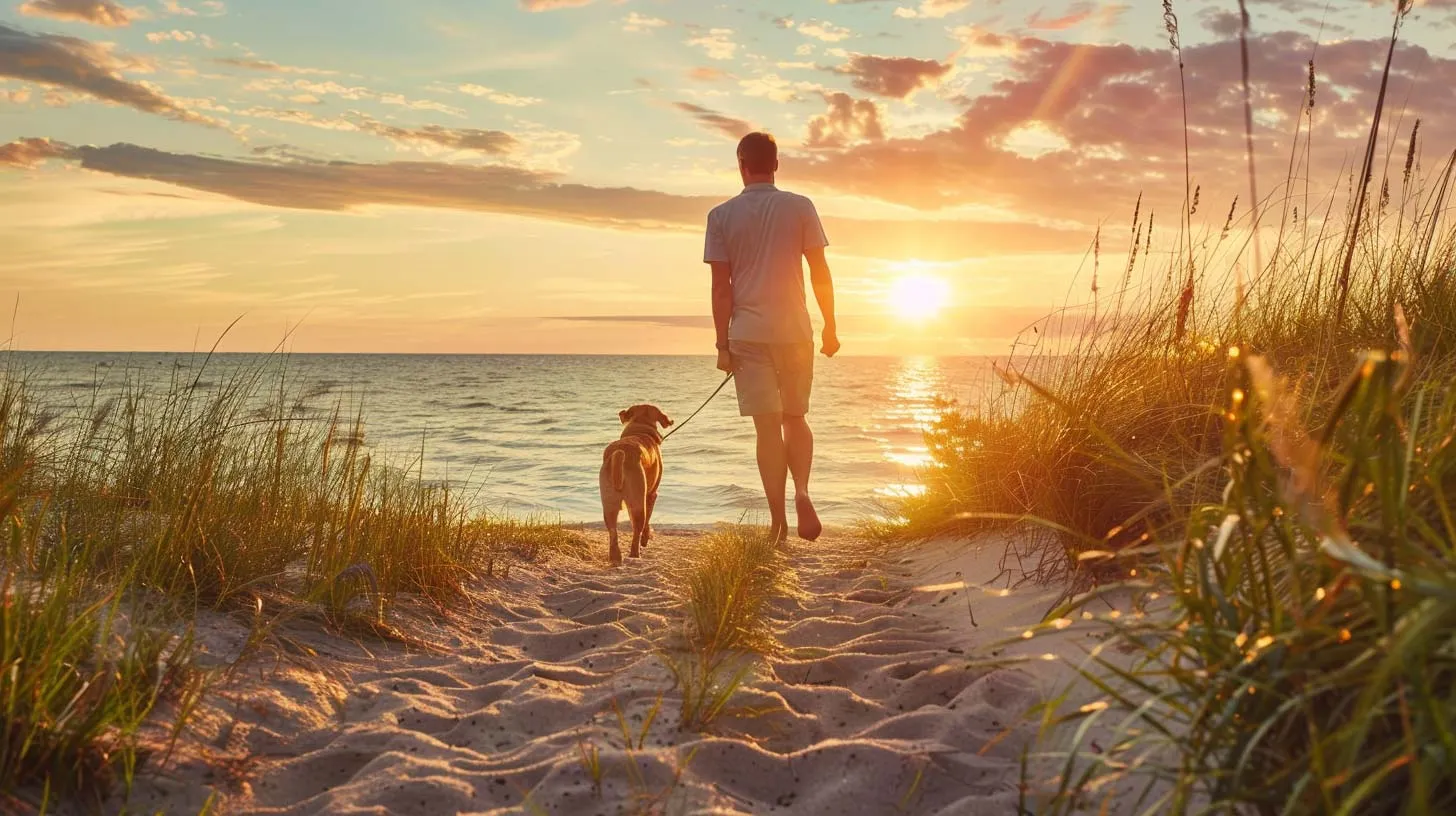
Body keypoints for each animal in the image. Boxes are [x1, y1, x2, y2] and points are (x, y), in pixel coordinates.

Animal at [599, 405, 672, 565]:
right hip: (638, 502)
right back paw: (635, 554)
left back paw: (615, 557)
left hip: (609, 503)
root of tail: (619, 453)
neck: (640, 429)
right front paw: (646, 538)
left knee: (613, 531)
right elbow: (646, 522)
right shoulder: (651, 495)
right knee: (638, 528)